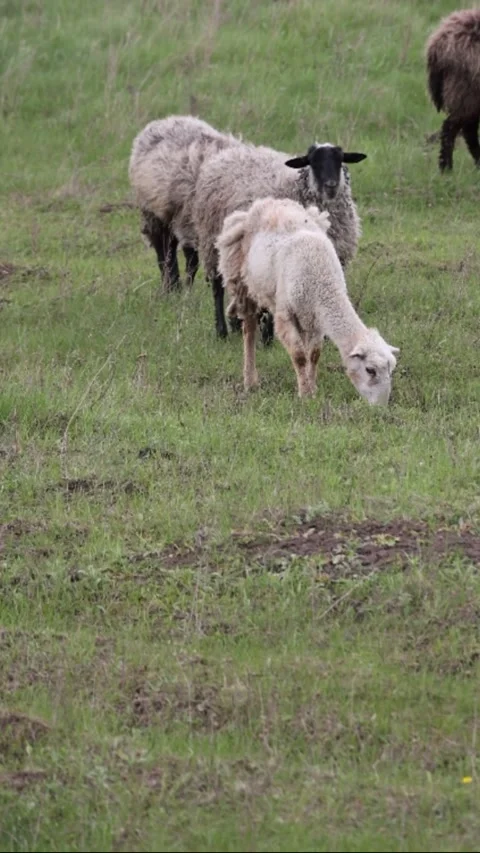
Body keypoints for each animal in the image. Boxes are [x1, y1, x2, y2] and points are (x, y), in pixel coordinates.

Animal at [128, 115, 240, 292]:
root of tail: (166, 119)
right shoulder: (188, 221)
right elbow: (192, 259)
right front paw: (188, 288)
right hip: (154, 213)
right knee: (163, 248)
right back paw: (171, 286)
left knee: (169, 245)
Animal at [193, 140, 367, 340]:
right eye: (313, 162)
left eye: (340, 160)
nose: (331, 185)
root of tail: (226, 154)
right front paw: (268, 336)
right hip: (212, 243)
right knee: (217, 287)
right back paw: (222, 330)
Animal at [216, 197, 398, 405]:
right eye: (370, 370)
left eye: (390, 370)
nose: (381, 406)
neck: (321, 280)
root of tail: (266, 202)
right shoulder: (285, 314)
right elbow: (299, 355)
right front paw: (305, 395)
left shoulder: (316, 319)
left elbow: (314, 354)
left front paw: (312, 389)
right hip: (244, 283)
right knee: (249, 330)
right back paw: (250, 381)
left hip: (303, 314)